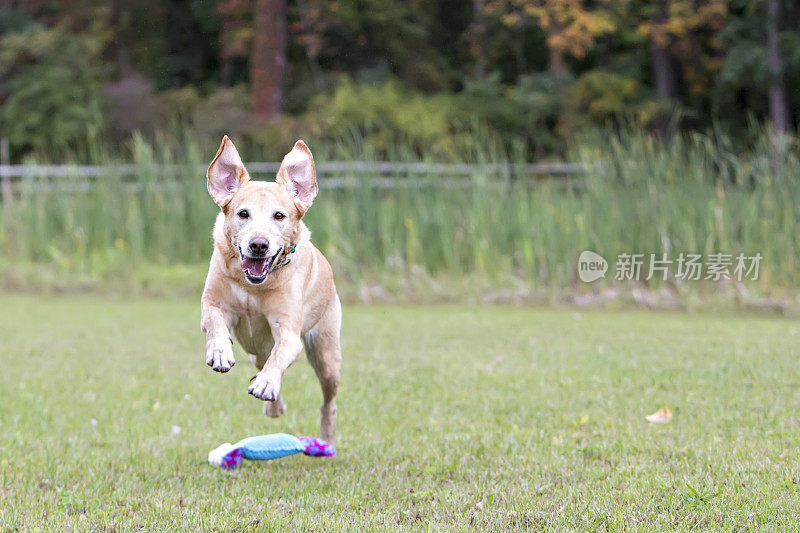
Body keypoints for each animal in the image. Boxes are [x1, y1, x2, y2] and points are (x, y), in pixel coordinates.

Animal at [200, 135, 340, 438]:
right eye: (243, 213)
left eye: (279, 216)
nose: (258, 245)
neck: (253, 287)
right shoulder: (214, 302)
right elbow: (214, 320)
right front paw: (220, 352)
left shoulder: (287, 330)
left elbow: (281, 354)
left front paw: (265, 385)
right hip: (257, 353)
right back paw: (274, 407)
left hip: (326, 354)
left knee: (328, 401)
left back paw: (326, 435)